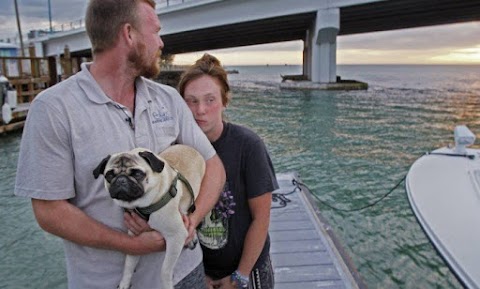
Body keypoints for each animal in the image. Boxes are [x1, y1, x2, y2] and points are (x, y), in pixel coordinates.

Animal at [93, 144, 205, 288]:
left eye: (137, 174)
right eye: (110, 175)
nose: (121, 180)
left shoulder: (176, 236)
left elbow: (165, 270)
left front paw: (167, 285)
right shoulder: (135, 238)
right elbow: (129, 264)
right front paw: (124, 282)